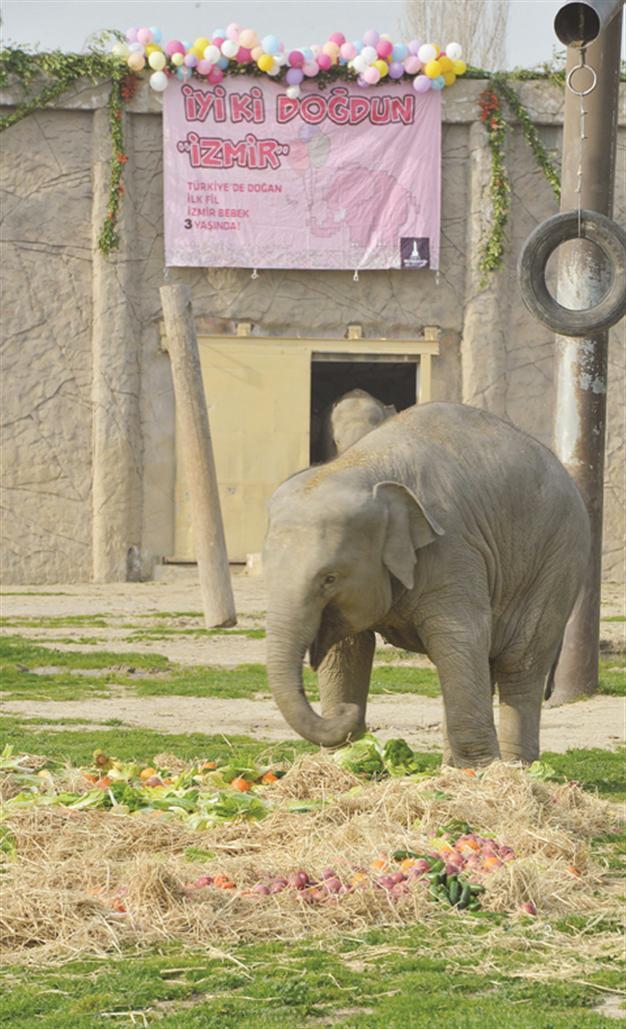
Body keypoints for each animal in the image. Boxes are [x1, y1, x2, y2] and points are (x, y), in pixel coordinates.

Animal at [263, 402, 590, 768]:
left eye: (329, 578)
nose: (351, 714)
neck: (364, 466)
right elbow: (348, 650)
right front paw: (345, 763)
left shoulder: (453, 550)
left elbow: (461, 635)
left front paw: (478, 772)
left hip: (558, 562)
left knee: (518, 663)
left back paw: (514, 768)